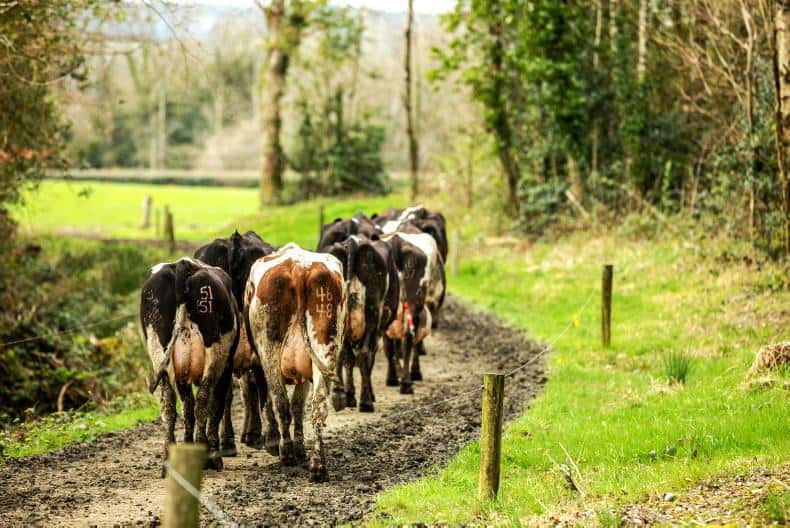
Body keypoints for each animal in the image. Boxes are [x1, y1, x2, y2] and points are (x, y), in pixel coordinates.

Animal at [142, 258, 238, 472]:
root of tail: (183, 264)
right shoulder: (226, 367)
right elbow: (215, 406)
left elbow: (187, 406)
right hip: (215, 353)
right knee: (204, 401)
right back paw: (209, 457)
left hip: (159, 350)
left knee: (169, 406)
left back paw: (169, 460)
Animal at [248, 243, 346, 482]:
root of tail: (300, 267)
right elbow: (298, 405)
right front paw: (301, 448)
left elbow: (272, 402)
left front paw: (274, 442)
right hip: (324, 347)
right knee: (318, 407)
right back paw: (318, 466)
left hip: (269, 352)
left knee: (280, 402)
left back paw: (286, 453)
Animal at [322, 234, 400, 412]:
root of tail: (352, 242)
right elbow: (369, 357)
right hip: (372, 313)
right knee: (363, 355)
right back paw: (365, 402)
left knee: (345, 355)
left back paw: (340, 395)